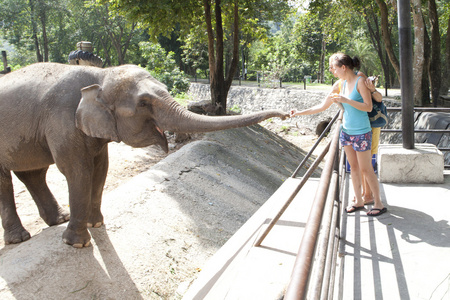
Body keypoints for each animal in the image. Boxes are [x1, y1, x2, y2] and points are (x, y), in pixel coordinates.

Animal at [0, 62, 288, 247]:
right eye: (143, 103)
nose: (286, 114)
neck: (100, 75)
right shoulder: (61, 121)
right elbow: (77, 170)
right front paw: (76, 244)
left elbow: (100, 168)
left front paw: (96, 226)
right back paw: (20, 238)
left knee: (32, 173)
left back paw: (59, 219)